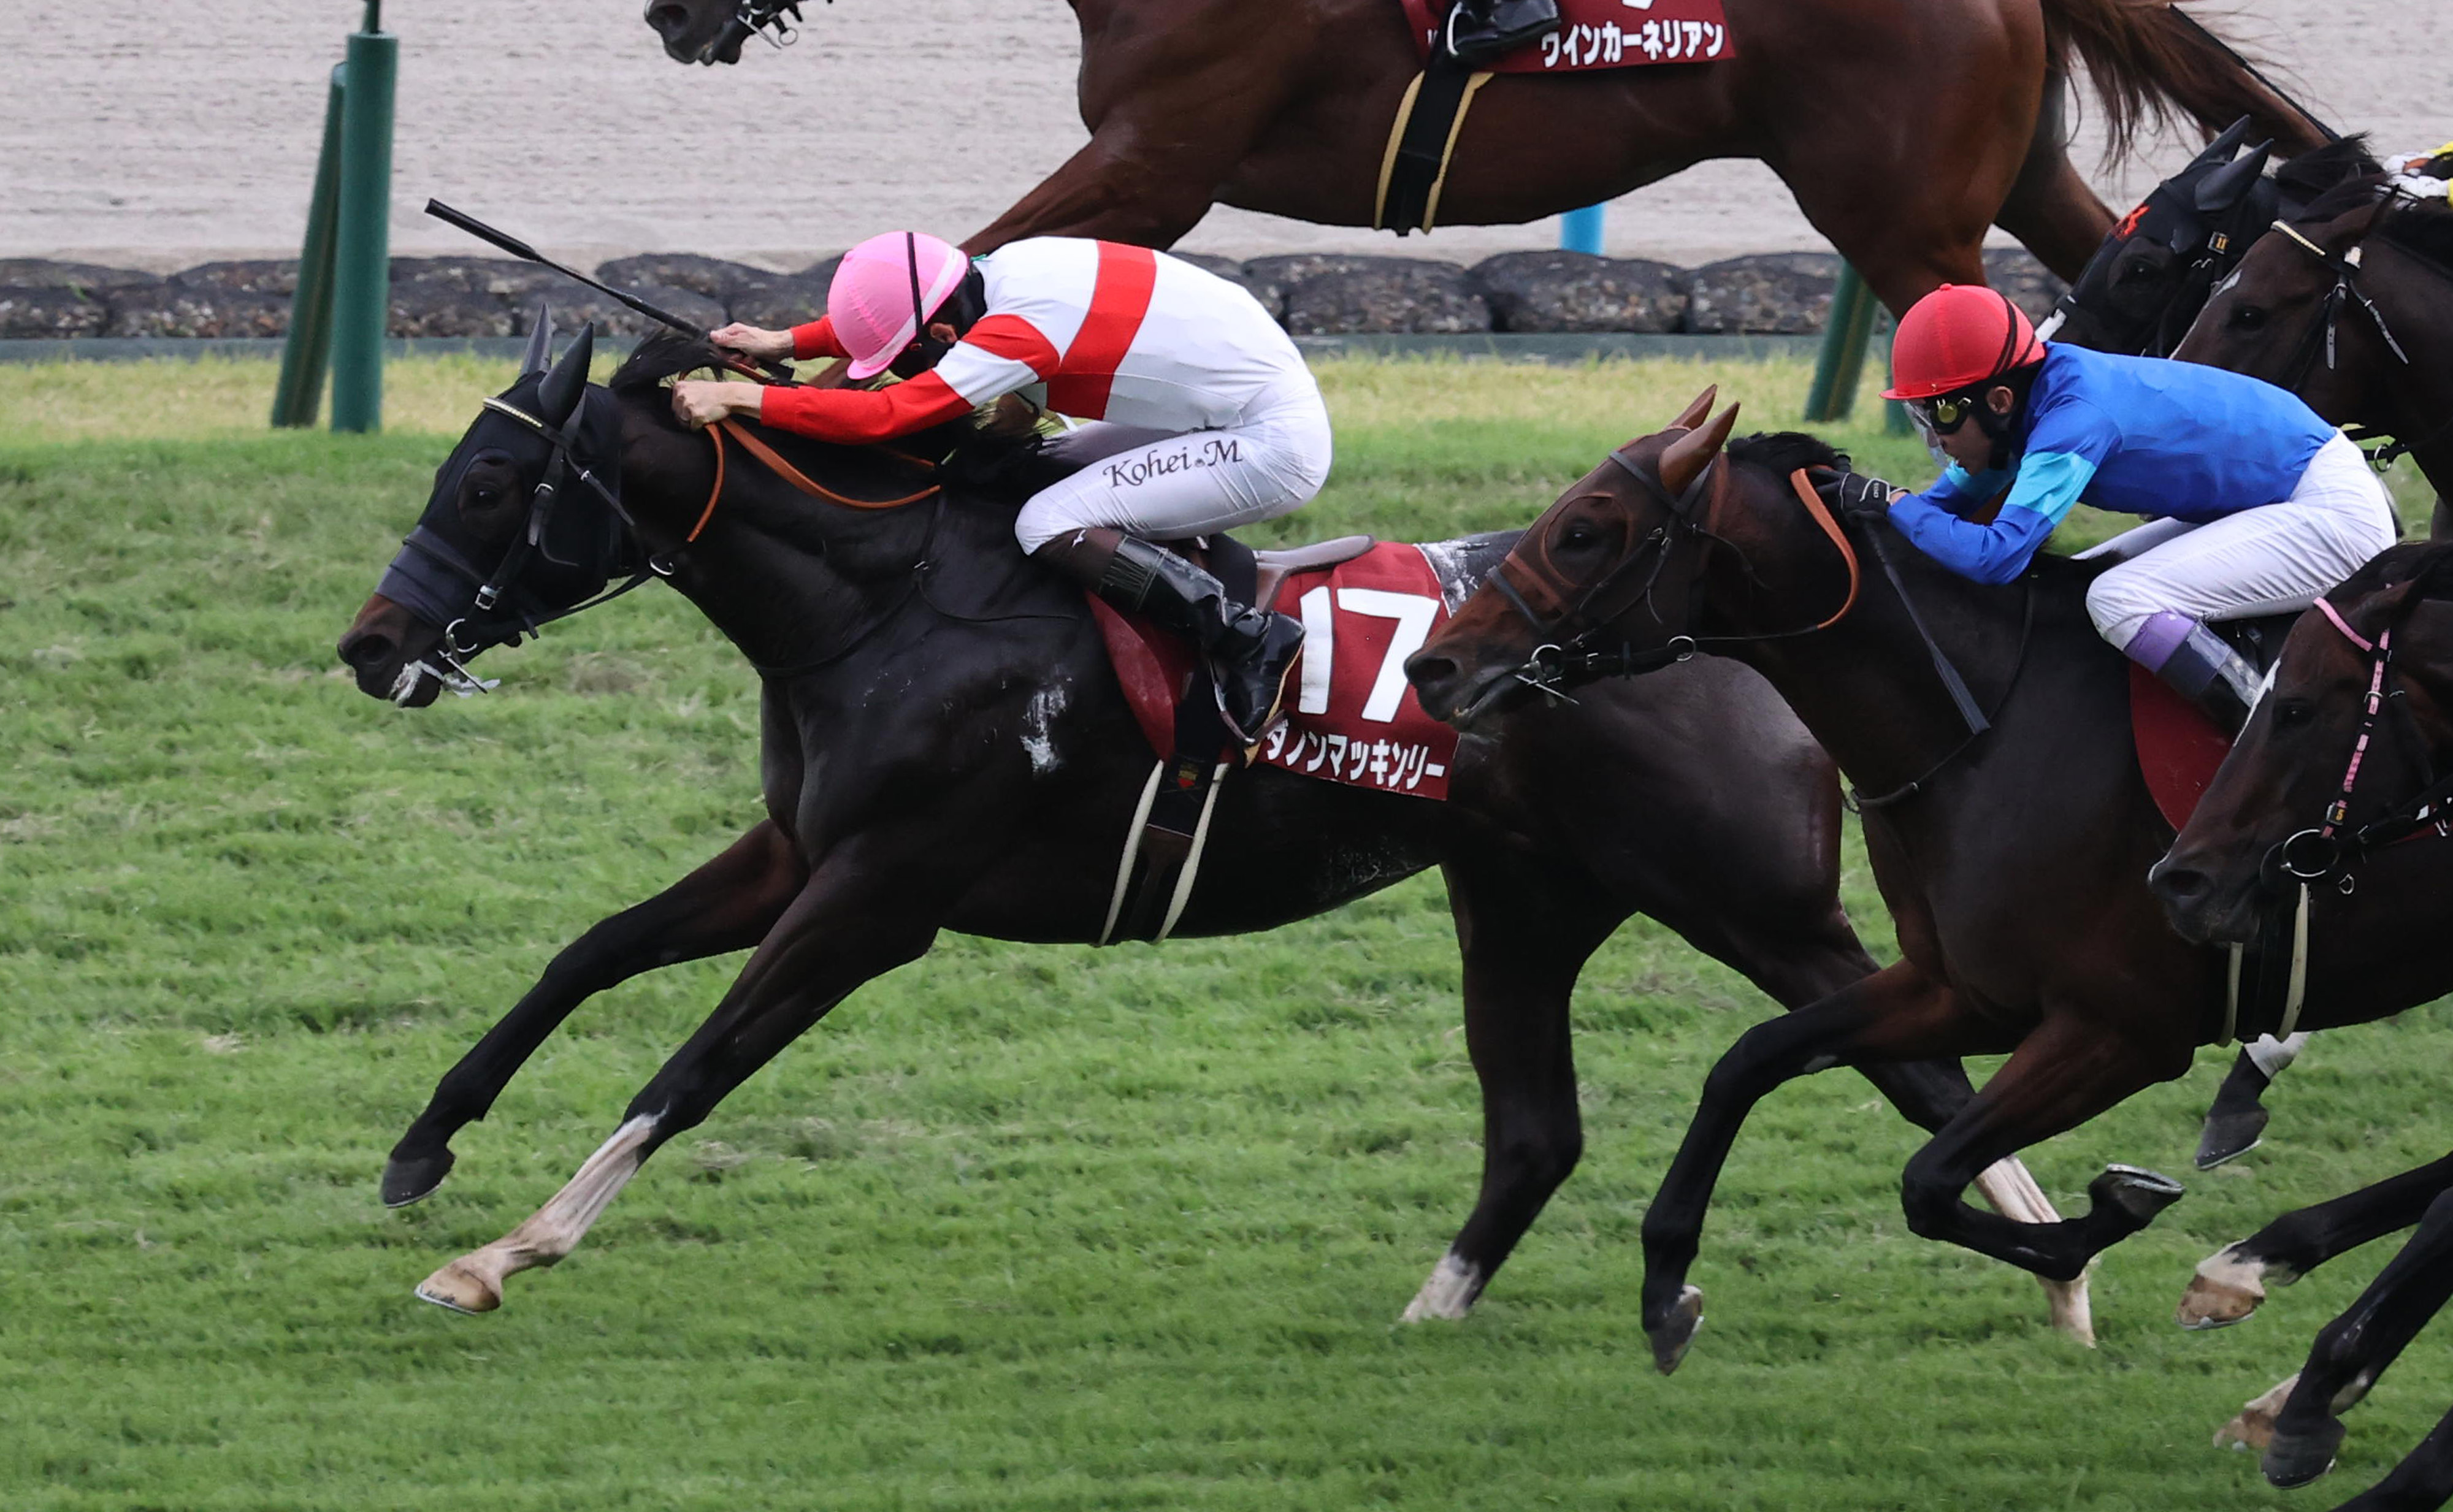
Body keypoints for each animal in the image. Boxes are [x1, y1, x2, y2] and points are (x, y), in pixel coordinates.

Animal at [332, 325, 2089, 1330]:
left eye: (486, 487)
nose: (370, 643)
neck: (891, 601)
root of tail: (1732, 642)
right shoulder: (795, 854)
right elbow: (586, 953)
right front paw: (423, 1148)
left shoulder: (878, 894)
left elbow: (692, 1064)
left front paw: (507, 1251)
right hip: (1525, 899)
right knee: (1540, 1130)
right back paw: (1432, 1317)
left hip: (1752, 905)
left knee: (1926, 1069)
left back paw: (2064, 1283)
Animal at [1401, 396, 2432, 1376]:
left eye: (1584, 529)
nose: (1431, 664)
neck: (1988, 725)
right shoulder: (1963, 988)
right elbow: (1753, 1059)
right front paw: (1665, 1288)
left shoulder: (2123, 1027)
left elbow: (1928, 1179)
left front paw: (2105, 1225)